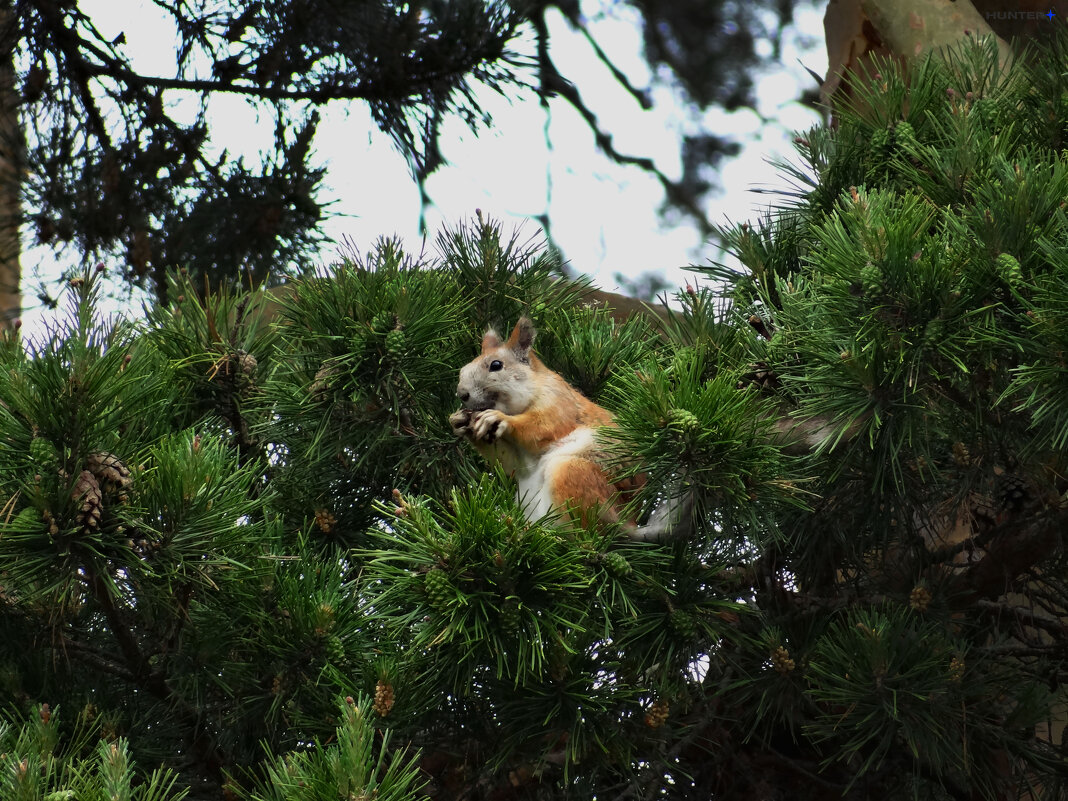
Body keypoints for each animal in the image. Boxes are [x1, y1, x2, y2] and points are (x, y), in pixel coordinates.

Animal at [448, 318, 683, 540]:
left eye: (496, 365)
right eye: (463, 370)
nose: (462, 394)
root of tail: (626, 525)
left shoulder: (559, 402)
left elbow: (541, 428)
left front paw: (500, 419)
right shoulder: (522, 459)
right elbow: (512, 462)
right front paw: (458, 421)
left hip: (574, 476)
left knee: (584, 535)